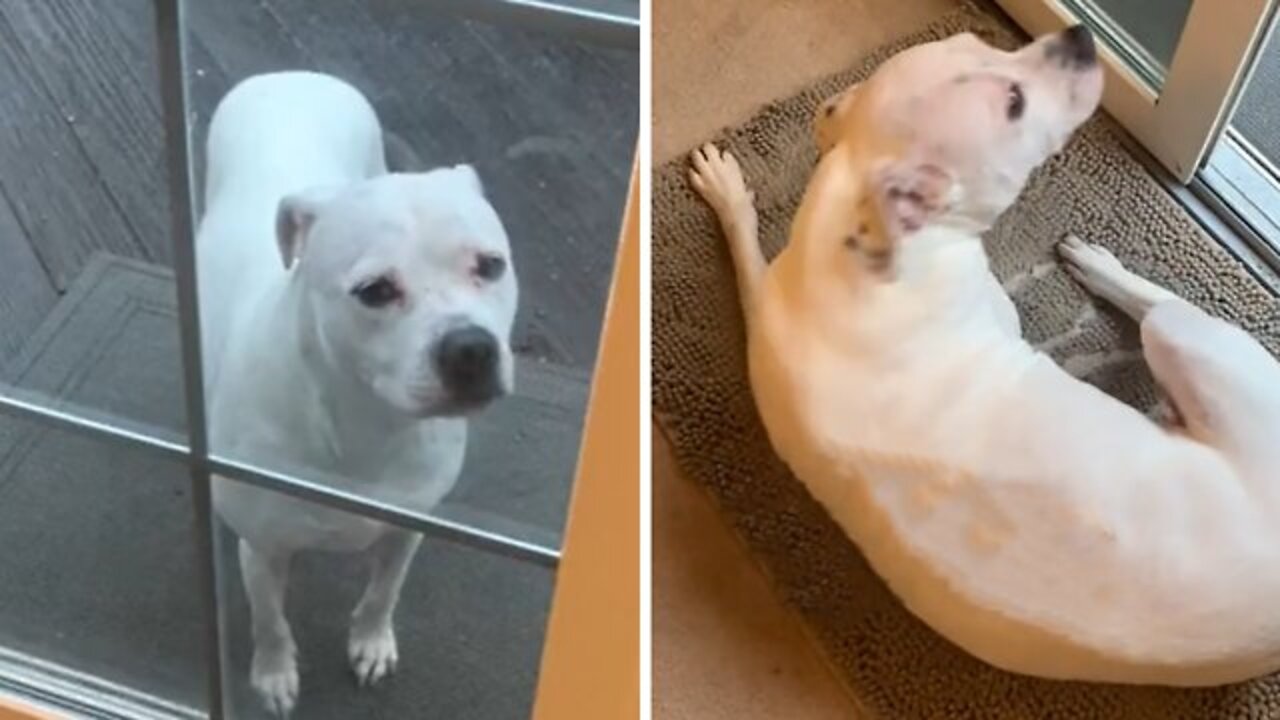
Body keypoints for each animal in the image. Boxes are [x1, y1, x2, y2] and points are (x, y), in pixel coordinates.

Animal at [194, 73, 514, 712]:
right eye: (374, 291)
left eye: (491, 265)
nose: (471, 348)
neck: (368, 423)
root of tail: (290, 76)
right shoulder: (263, 550)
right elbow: (269, 620)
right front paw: (274, 674)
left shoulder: (408, 526)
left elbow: (384, 591)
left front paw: (370, 641)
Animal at [696, 25, 1280, 681]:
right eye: (1014, 104)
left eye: (976, 40)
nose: (1080, 35)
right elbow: (745, 253)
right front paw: (729, 194)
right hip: (1186, 337)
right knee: (1158, 306)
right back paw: (1104, 268)